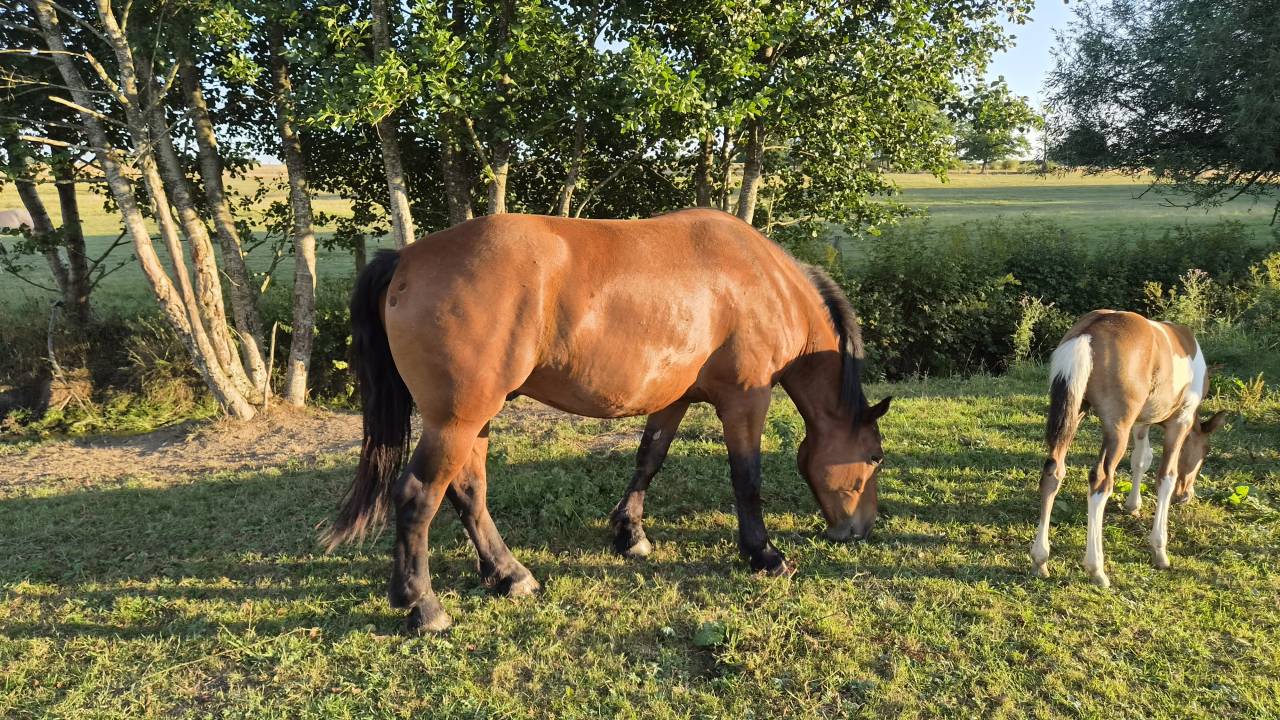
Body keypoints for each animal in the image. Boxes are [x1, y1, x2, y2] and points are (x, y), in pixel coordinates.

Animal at [326, 208, 891, 633]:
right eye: (875, 458)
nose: (859, 529)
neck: (763, 282)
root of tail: (406, 258)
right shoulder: (744, 401)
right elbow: (746, 477)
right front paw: (763, 554)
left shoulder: (673, 397)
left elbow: (649, 459)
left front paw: (630, 532)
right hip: (456, 421)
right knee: (418, 497)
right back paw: (423, 605)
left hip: (473, 422)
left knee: (468, 492)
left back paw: (509, 575)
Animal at [1031, 309, 1228, 586]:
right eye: (1206, 451)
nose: (1186, 495)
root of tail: (1089, 332)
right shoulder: (1180, 421)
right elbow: (1166, 476)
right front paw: (1159, 549)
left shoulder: (1141, 421)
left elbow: (1141, 459)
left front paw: (1133, 505)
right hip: (1117, 429)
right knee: (1101, 481)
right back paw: (1097, 569)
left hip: (1076, 412)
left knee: (1053, 472)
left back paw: (1040, 559)